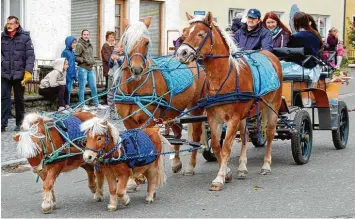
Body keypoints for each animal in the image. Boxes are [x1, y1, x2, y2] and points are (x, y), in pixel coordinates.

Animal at [114, 16, 207, 176]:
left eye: (146, 42)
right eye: (126, 41)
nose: (137, 69)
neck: (134, 90)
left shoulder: (148, 121)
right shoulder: (128, 122)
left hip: (196, 107)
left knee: (196, 134)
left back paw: (190, 165)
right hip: (172, 111)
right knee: (177, 132)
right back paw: (176, 162)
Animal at [177, 12, 284, 191]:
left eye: (201, 34)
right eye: (184, 34)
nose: (181, 53)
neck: (223, 78)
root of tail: (270, 56)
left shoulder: (233, 119)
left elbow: (226, 147)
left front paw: (219, 178)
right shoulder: (214, 118)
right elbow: (216, 145)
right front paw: (227, 173)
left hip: (272, 107)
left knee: (270, 134)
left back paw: (266, 165)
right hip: (244, 115)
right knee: (245, 135)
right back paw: (242, 167)